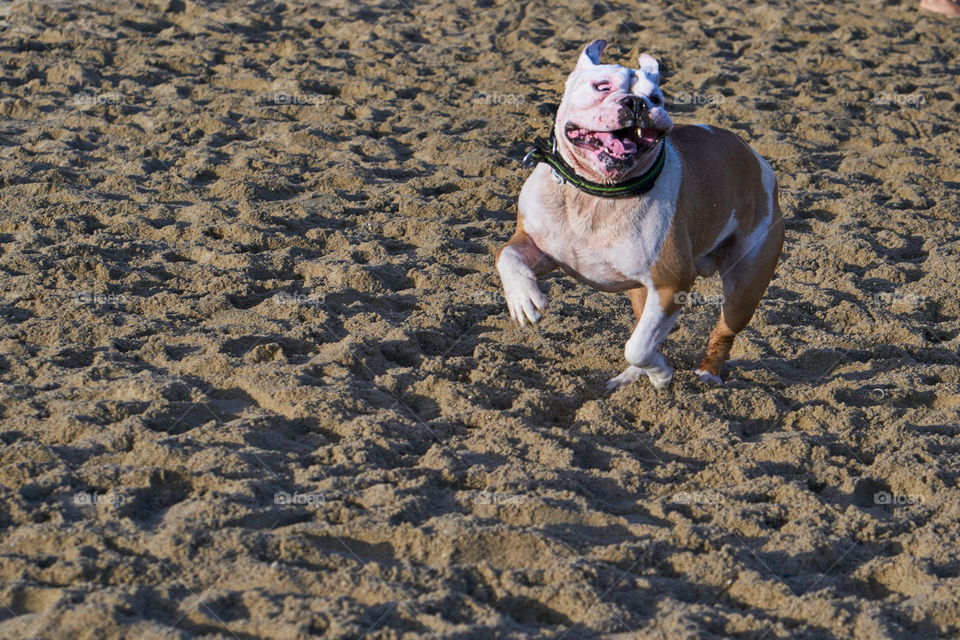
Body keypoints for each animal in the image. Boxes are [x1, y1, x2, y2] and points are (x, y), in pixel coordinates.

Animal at [498, 41, 784, 390]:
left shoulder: (671, 283)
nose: (636, 102)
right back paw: (631, 377)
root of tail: (755, 157)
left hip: (745, 286)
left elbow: (637, 346)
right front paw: (523, 299)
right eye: (602, 86)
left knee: (722, 331)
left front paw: (661, 374)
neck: (595, 194)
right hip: (641, 290)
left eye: (656, 98)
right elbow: (506, 255)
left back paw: (707, 373)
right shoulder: (538, 245)